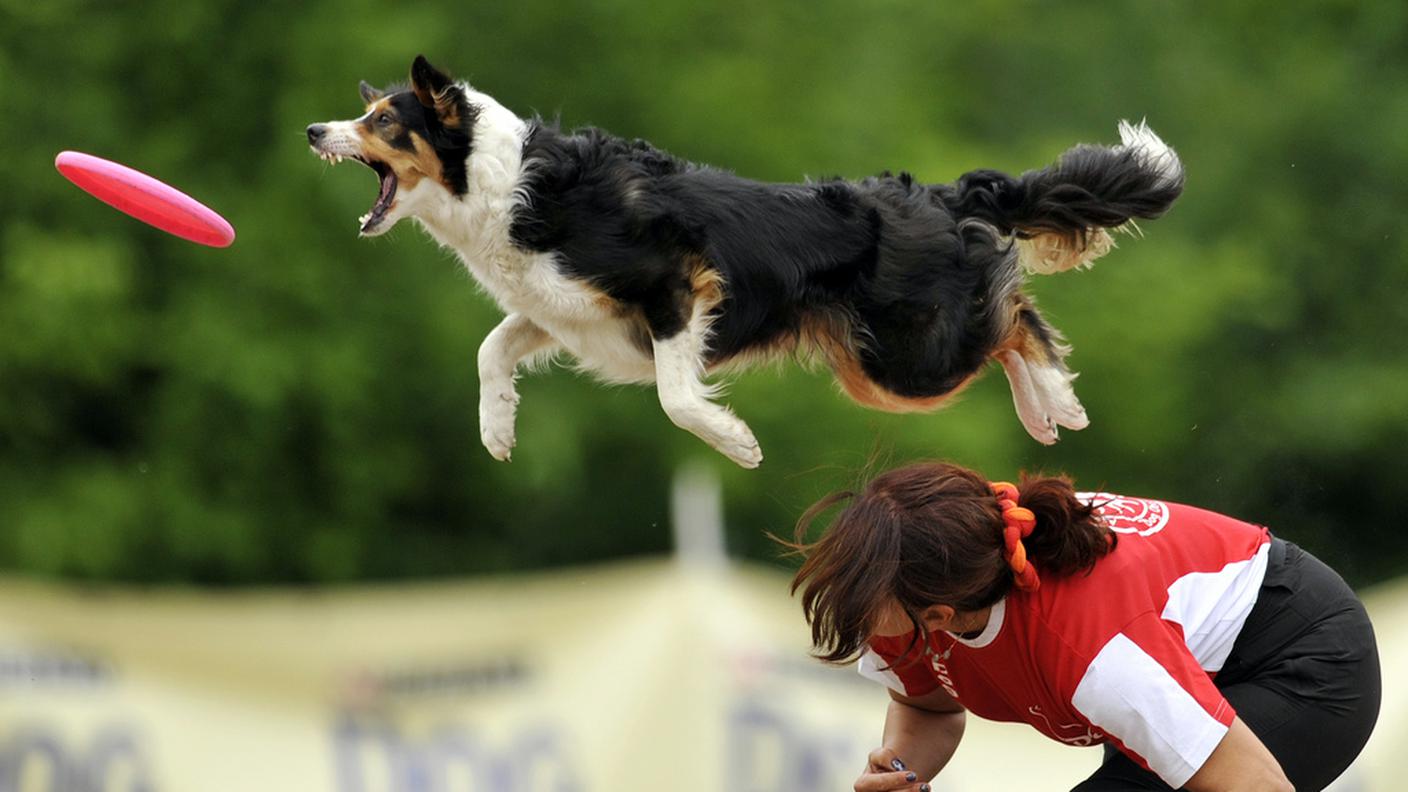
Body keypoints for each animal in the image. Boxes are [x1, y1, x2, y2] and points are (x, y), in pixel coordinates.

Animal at [311, 58, 1188, 465]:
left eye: (384, 120)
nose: (315, 131)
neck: (501, 183)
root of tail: (941, 195)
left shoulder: (676, 284)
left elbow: (674, 396)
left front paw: (735, 443)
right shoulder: (563, 311)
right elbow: (491, 347)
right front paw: (497, 429)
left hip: (904, 359)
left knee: (1016, 319)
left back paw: (1056, 405)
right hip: (878, 362)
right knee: (1012, 319)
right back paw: (1047, 410)